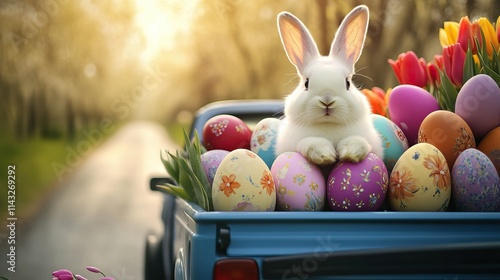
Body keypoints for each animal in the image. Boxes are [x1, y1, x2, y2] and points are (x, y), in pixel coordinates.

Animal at [278, 5, 382, 165]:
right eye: (306, 83)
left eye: (347, 83)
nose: (327, 100)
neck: (328, 125)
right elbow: (310, 142)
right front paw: (325, 155)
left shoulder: (366, 140)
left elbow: (357, 141)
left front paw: (350, 154)